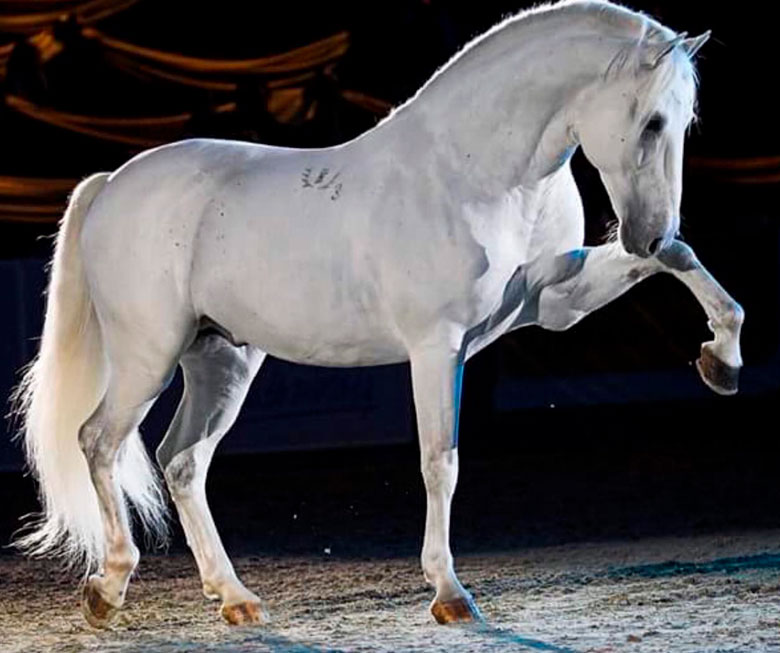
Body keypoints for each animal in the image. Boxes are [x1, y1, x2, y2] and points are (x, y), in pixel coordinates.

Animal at [13, 0, 743, 628]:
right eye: (652, 122)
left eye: (686, 123)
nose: (645, 229)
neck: (478, 174)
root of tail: (112, 182)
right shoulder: (437, 346)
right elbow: (440, 461)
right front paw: (449, 593)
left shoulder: (555, 302)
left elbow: (683, 261)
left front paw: (721, 361)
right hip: (149, 356)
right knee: (99, 441)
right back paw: (108, 588)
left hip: (223, 357)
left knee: (183, 461)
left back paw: (235, 598)